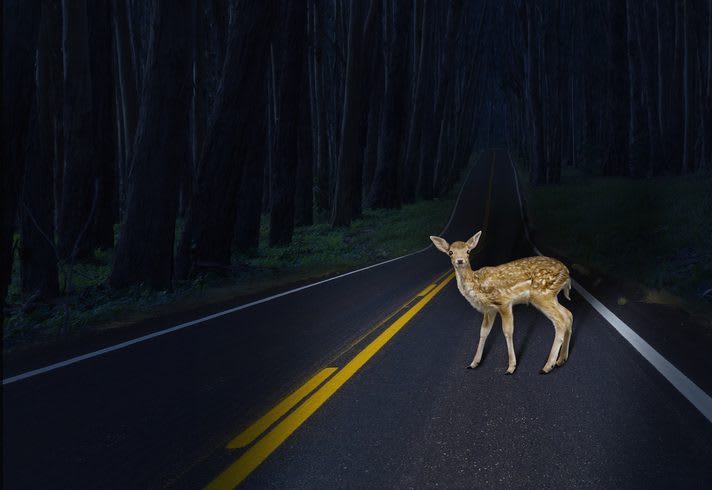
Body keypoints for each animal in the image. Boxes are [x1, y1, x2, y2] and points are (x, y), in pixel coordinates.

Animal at [430, 231, 573, 375]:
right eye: (450, 252)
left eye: (468, 251)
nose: (460, 260)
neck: (477, 284)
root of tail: (567, 274)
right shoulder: (489, 309)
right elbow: (483, 331)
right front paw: (474, 363)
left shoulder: (503, 302)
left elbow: (508, 331)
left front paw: (511, 367)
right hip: (551, 296)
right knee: (568, 315)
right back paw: (561, 360)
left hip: (542, 294)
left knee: (560, 321)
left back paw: (547, 366)